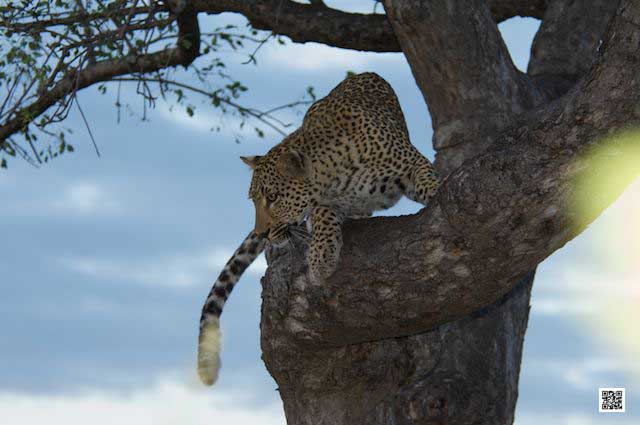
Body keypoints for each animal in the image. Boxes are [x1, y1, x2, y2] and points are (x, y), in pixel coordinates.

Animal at [197, 72, 440, 386]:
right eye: (253, 199)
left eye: (272, 197)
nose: (261, 233)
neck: (336, 169)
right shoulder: (326, 203)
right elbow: (323, 215)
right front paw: (321, 257)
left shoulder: (410, 162)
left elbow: (426, 175)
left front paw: (436, 189)